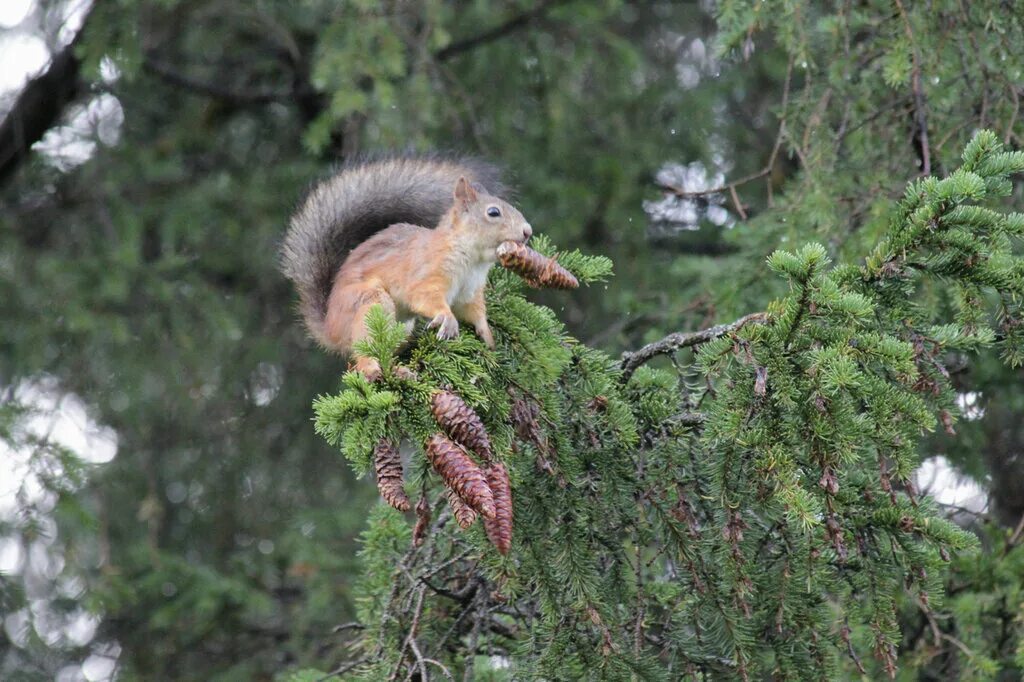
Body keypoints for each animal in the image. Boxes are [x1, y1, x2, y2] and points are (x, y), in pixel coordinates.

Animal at [282, 152, 536, 376]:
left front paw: (487, 333)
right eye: (493, 212)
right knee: (362, 351)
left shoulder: (470, 292)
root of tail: (330, 328)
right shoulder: (427, 273)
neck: (472, 260)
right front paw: (447, 319)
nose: (527, 231)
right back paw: (371, 369)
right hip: (370, 304)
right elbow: (425, 297)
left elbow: (474, 311)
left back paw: (399, 370)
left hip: (400, 328)